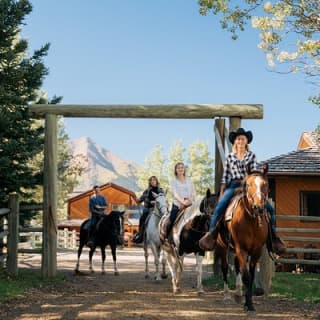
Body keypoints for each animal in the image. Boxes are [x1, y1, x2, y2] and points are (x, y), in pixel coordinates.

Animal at [218, 165, 270, 312]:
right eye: (248, 184)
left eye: (265, 184)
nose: (258, 207)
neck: (251, 221)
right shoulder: (241, 248)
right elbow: (246, 276)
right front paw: (249, 305)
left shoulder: (256, 250)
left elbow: (251, 276)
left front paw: (248, 302)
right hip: (222, 246)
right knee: (225, 267)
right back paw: (227, 296)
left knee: (236, 266)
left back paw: (238, 293)